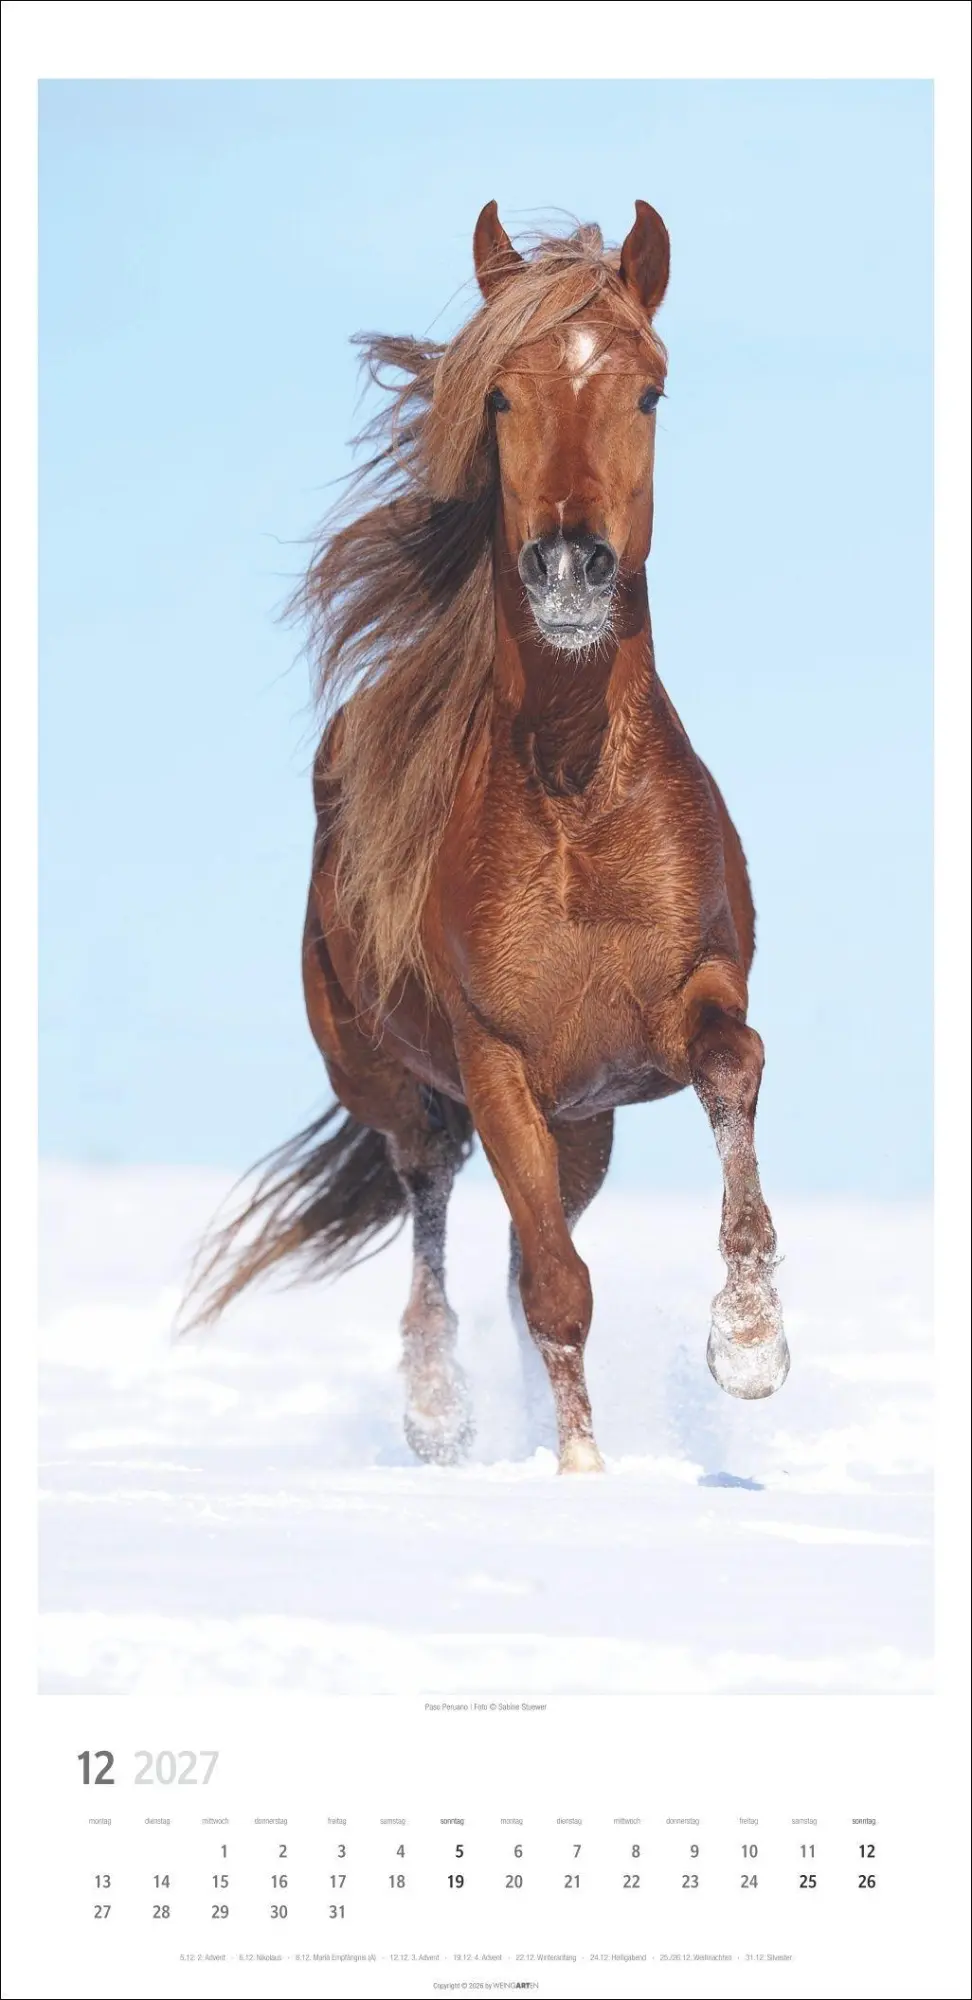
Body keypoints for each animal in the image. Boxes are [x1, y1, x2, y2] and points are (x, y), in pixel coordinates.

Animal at [182, 199, 789, 1473]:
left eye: (650, 390)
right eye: (501, 396)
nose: (568, 566)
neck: (576, 798)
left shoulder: (684, 1003)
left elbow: (733, 1066)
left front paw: (752, 1339)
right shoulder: (498, 1062)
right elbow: (558, 1289)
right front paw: (579, 1473)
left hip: (586, 1125)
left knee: (515, 1245)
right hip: (399, 1083)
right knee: (435, 1198)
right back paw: (437, 1413)